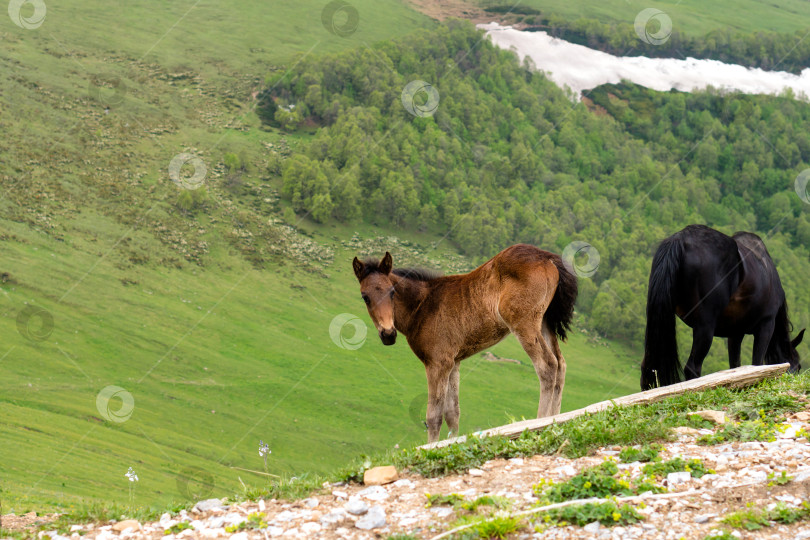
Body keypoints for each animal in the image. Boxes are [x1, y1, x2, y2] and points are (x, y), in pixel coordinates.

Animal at [352, 244, 576, 442]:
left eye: (392, 292)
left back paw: (540, 422)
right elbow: (453, 414)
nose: (388, 334)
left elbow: (434, 416)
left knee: (547, 365)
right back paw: (555, 419)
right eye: (365, 297)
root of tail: (547, 257)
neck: (422, 306)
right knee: (561, 364)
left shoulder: (437, 363)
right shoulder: (453, 363)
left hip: (525, 324)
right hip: (545, 321)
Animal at [636, 224, 800, 388]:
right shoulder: (766, 325)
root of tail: (681, 239)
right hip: (705, 327)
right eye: (798, 367)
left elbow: (736, 367)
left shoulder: (735, 333)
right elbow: (757, 364)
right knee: (693, 367)